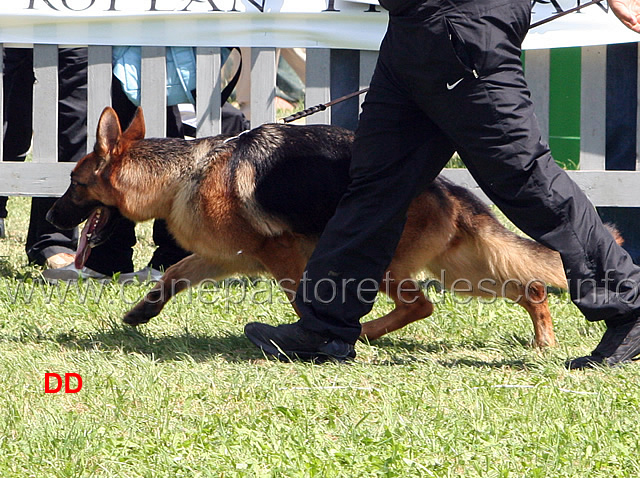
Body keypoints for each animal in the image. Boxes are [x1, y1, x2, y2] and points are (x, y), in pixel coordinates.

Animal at [50, 107, 584, 348]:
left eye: (74, 184)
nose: (53, 218)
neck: (186, 173)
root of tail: (446, 189)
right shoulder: (220, 258)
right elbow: (173, 276)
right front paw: (142, 312)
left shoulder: (281, 256)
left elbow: (299, 298)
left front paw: (304, 336)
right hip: (461, 272)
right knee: (530, 288)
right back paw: (543, 340)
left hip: (383, 264)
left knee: (419, 304)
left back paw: (362, 332)